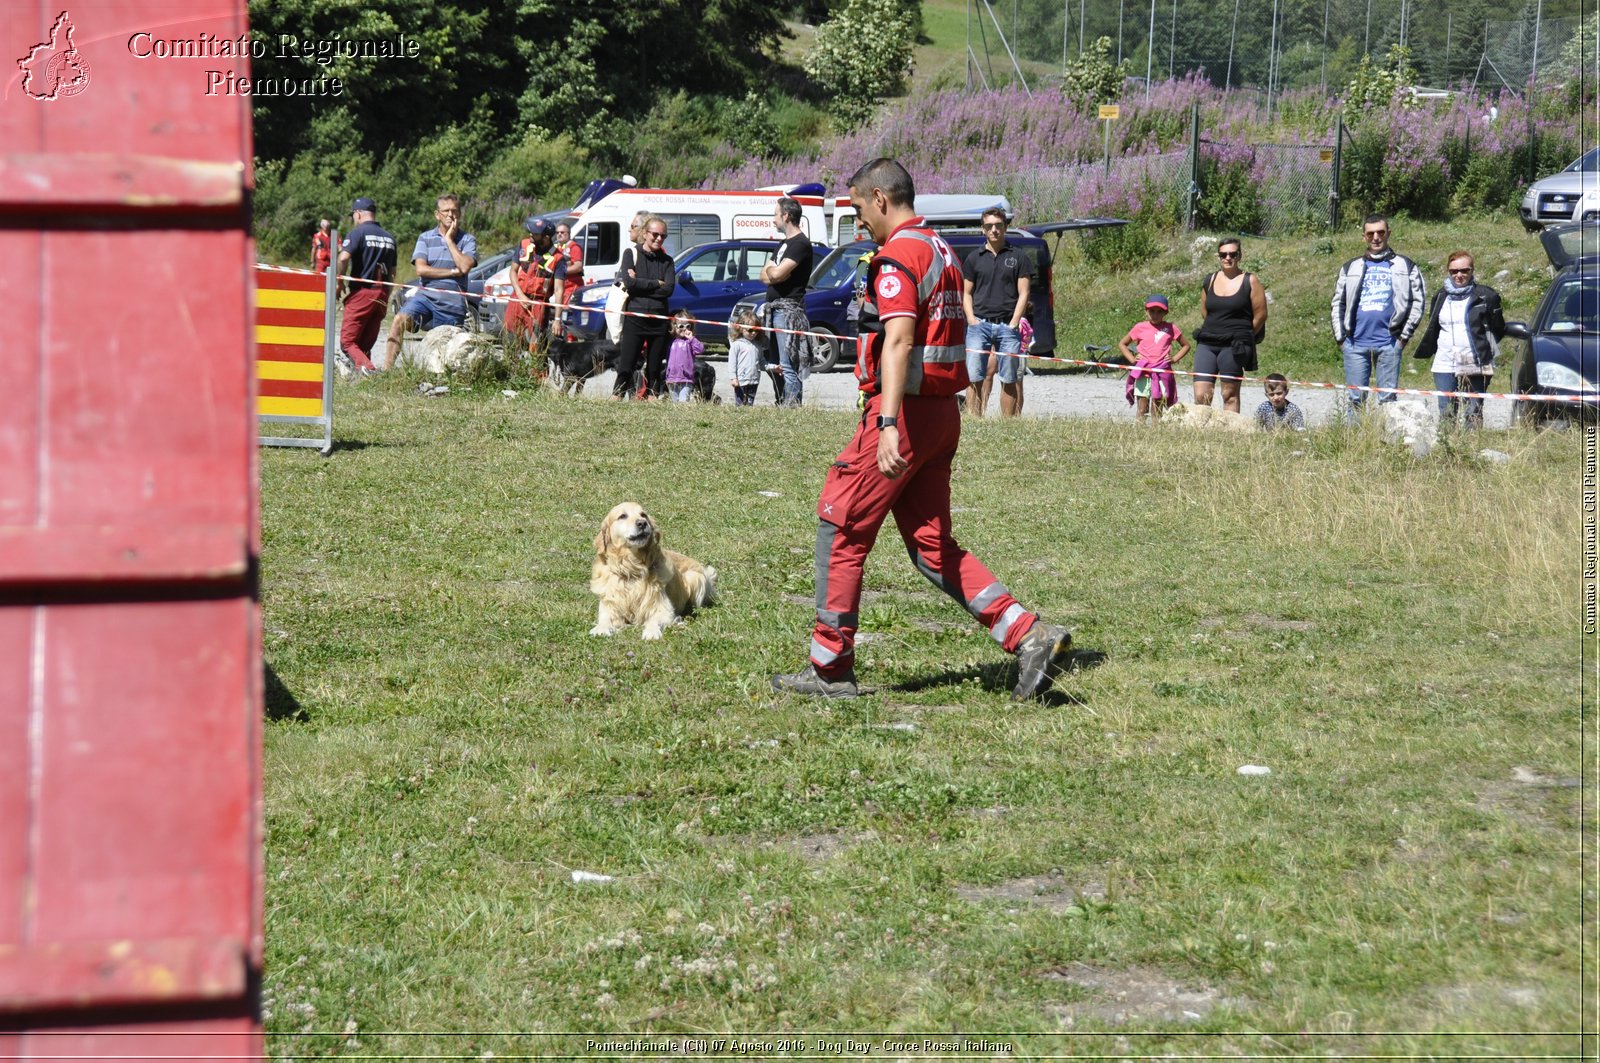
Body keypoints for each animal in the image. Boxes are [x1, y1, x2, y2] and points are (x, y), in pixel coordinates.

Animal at [592, 499, 716, 640]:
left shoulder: (664, 609)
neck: (632, 568)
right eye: (622, 516)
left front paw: (651, 632)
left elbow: (654, 620)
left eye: (643, 514)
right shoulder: (609, 605)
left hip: (695, 578)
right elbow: (605, 619)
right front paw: (600, 629)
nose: (642, 523)